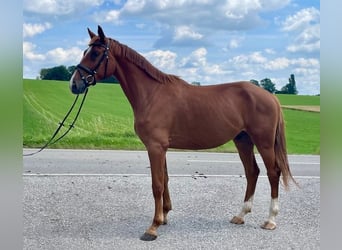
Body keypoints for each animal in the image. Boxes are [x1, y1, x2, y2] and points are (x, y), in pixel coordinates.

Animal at [69, 25, 296, 240]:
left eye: (95, 54)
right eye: (85, 51)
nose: (74, 84)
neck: (152, 94)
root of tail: (270, 96)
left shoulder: (155, 147)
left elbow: (157, 185)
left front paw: (153, 227)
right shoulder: (161, 148)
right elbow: (165, 180)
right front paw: (164, 216)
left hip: (264, 142)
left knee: (273, 172)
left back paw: (270, 220)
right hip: (243, 140)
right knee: (252, 172)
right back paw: (240, 215)